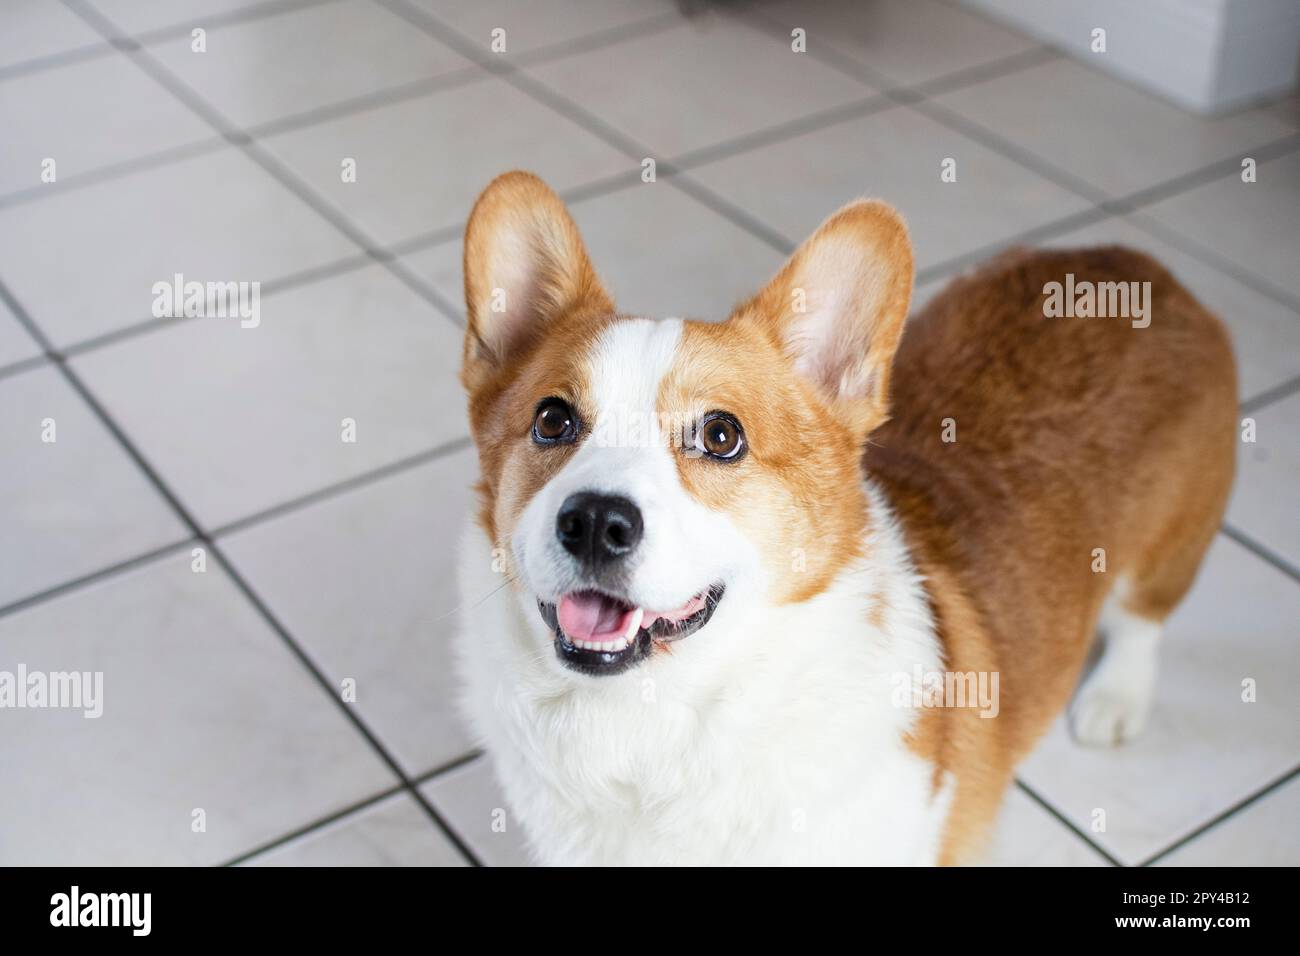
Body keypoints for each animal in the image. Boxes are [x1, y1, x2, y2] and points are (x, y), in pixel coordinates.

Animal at [452, 171, 1232, 868]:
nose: (593, 522)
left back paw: (1115, 698)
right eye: (552, 420)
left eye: (721, 436)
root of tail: (1138, 266)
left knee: (1142, 619)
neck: (656, 716)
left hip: (1169, 548)